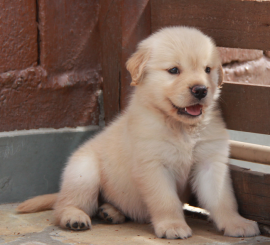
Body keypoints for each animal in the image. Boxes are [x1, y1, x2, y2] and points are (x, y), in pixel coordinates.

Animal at [16, 26, 260, 239]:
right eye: (174, 70)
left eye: (207, 70)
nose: (200, 90)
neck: (180, 126)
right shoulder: (153, 165)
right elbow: (165, 200)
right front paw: (172, 226)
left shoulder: (210, 162)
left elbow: (222, 198)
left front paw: (236, 223)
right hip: (83, 172)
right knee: (65, 205)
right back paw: (74, 217)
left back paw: (111, 212)